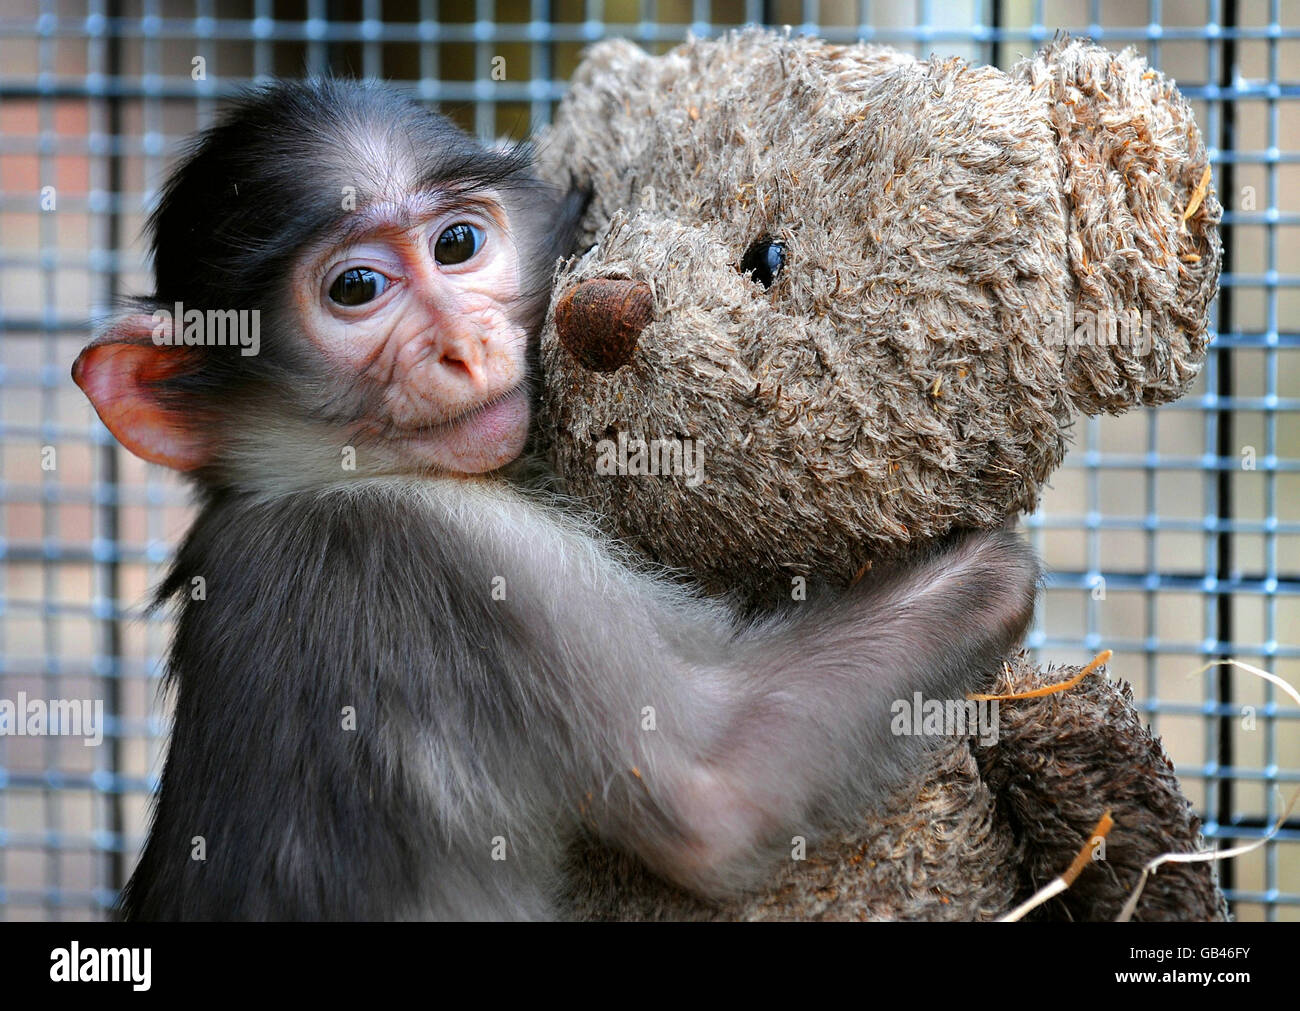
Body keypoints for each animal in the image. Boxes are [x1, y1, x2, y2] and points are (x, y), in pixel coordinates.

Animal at [71, 76, 1040, 914]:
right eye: (356, 288)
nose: (462, 345)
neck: (301, 483)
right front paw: (996, 561)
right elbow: (717, 786)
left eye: (457, 244)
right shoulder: (442, 556)